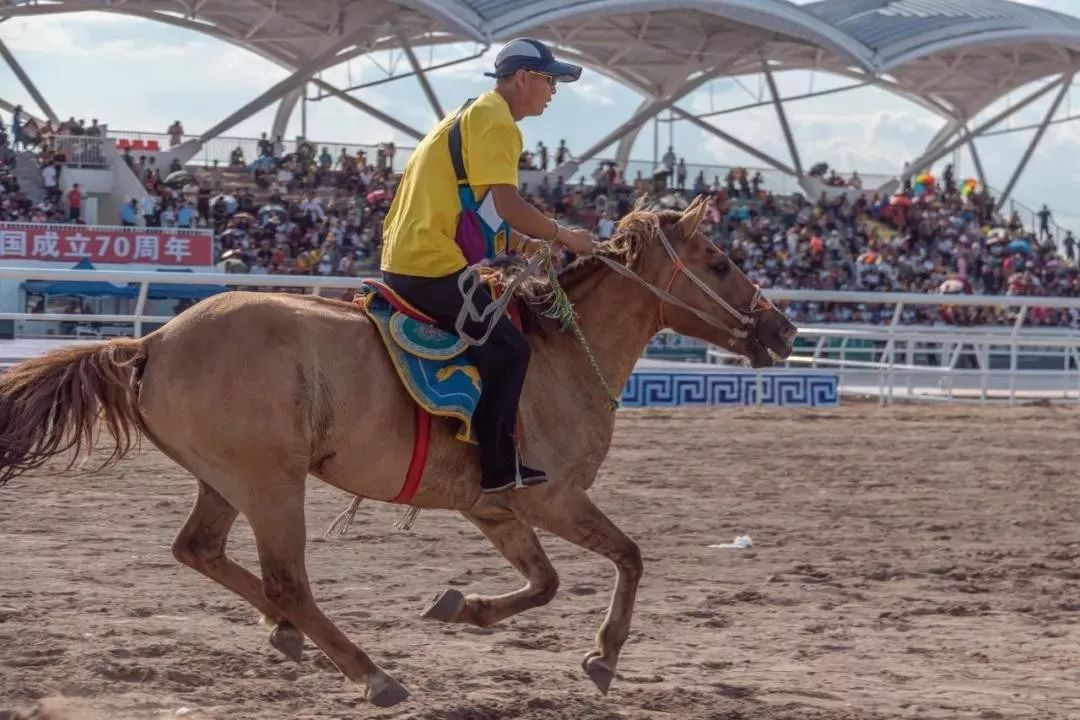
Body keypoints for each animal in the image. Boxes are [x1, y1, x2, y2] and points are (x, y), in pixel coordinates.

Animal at [0, 194, 794, 708]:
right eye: (720, 262)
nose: (782, 330)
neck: (558, 355)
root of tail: (154, 341)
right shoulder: (553, 497)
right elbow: (628, 557)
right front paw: (603, 655)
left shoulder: (495, 509)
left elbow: (544, 583)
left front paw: (464, 606)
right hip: (272, 484)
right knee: (287, 581)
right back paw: (368, 671)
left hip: (227, 480)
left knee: (201, 551)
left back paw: (289, 635)